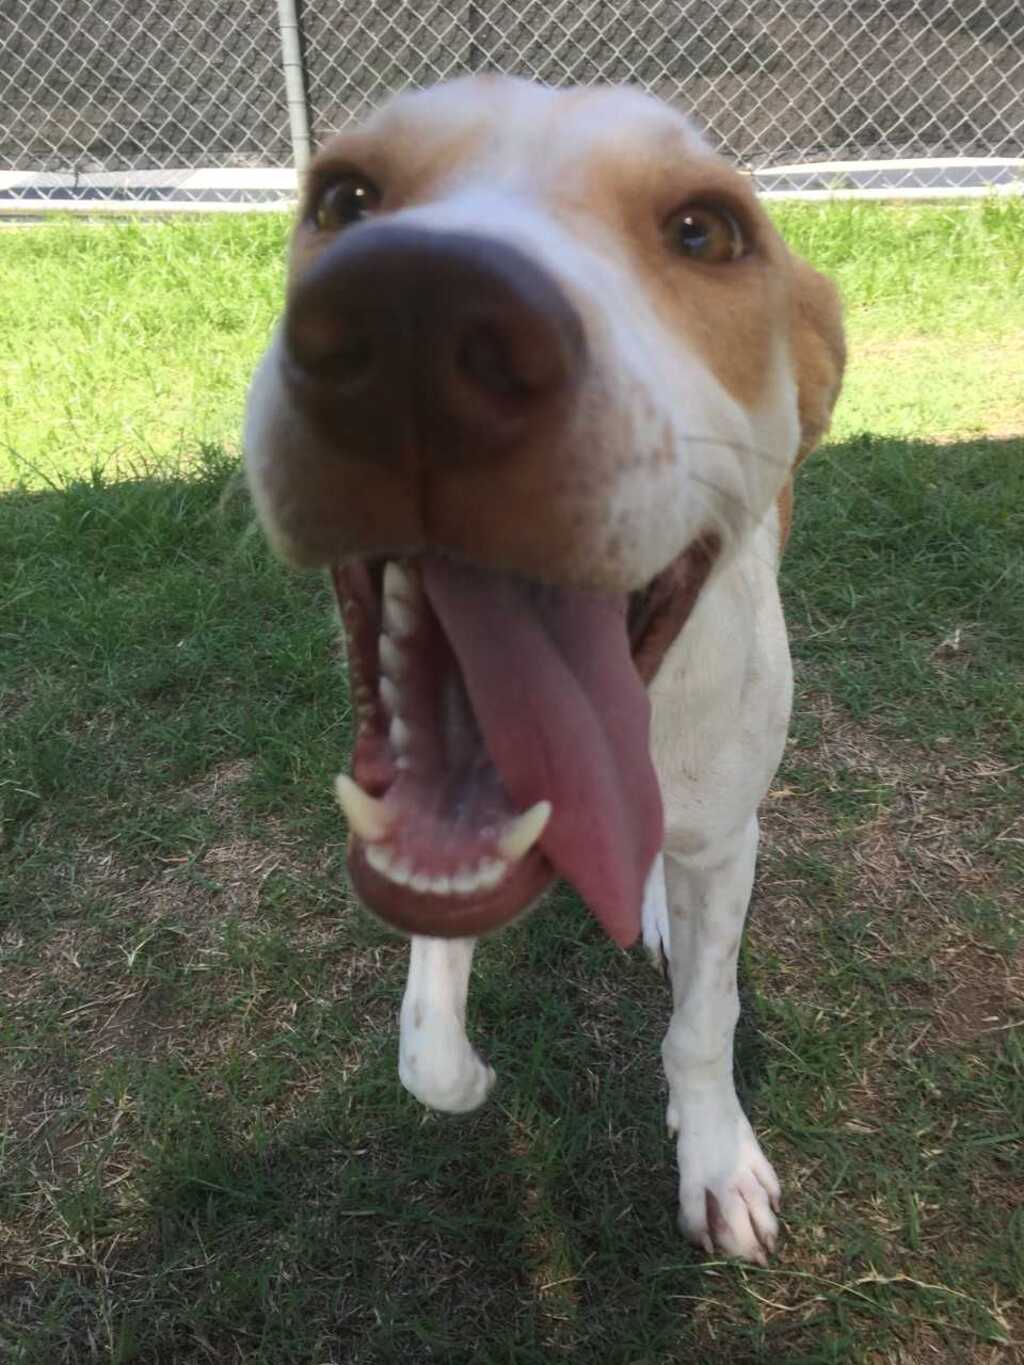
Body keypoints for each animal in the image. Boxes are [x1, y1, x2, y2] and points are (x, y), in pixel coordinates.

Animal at [244, 75, 844, 1264]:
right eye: (344, 197)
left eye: (705, 230)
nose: (417, 314)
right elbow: (427, 1045)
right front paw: (463, 1073)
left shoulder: (728, 842)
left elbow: (704, 1022)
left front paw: (715, 1161)